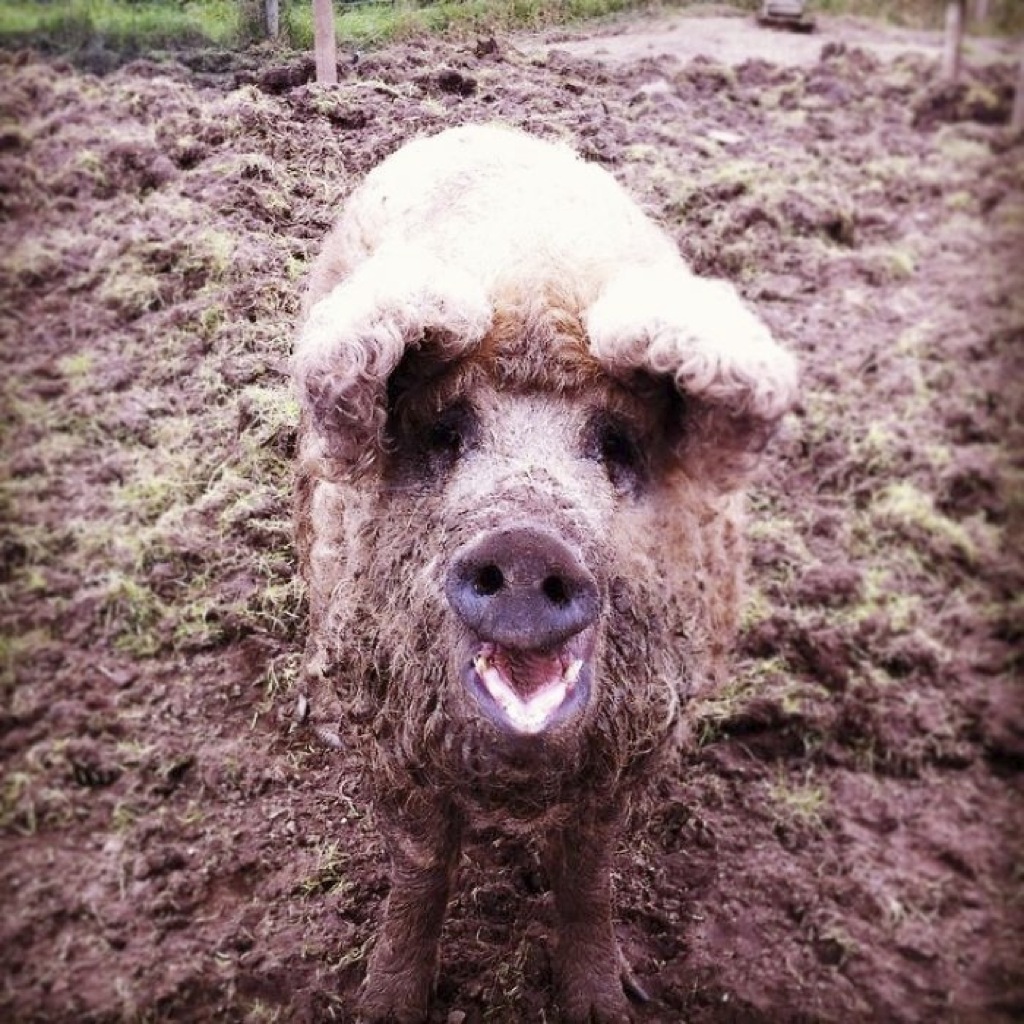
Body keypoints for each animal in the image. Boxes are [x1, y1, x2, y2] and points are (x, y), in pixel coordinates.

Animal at [292, 123, 794, 1019]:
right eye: (446, 435)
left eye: (616, 444)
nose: (528, 546)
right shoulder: (390, 732)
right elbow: (419, 871)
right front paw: (384, 1005)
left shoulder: (636, 745)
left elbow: (588, 875)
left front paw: (609, 1005)